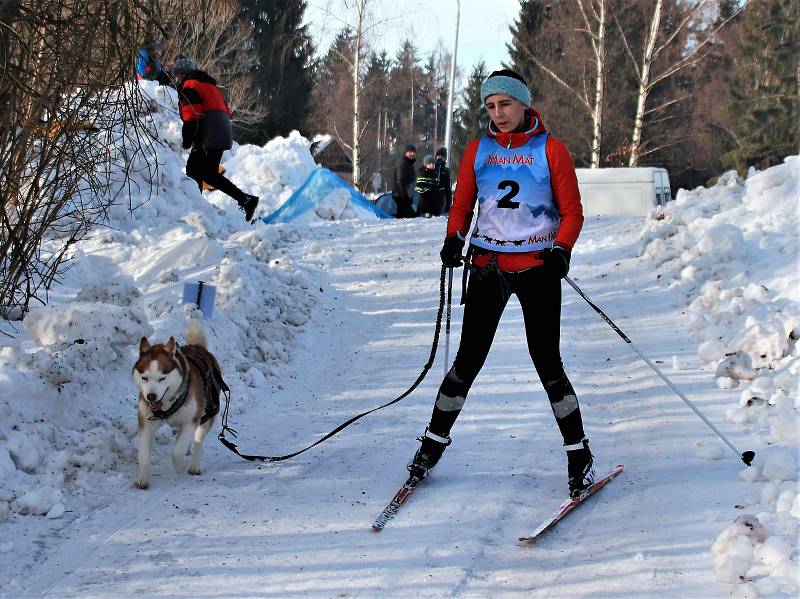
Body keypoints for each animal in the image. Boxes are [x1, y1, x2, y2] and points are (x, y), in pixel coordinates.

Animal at [132, 324, 222, 488]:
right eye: (144, 378)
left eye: (162, 378)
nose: (151, 396)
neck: (168, 403)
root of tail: (198, 347)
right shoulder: (146, 423)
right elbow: (143, 455)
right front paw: (142, 478)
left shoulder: (191, 420)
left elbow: (177, 451)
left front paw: (180, 466)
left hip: (208, 413)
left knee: (198, 440)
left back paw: (194, 466)